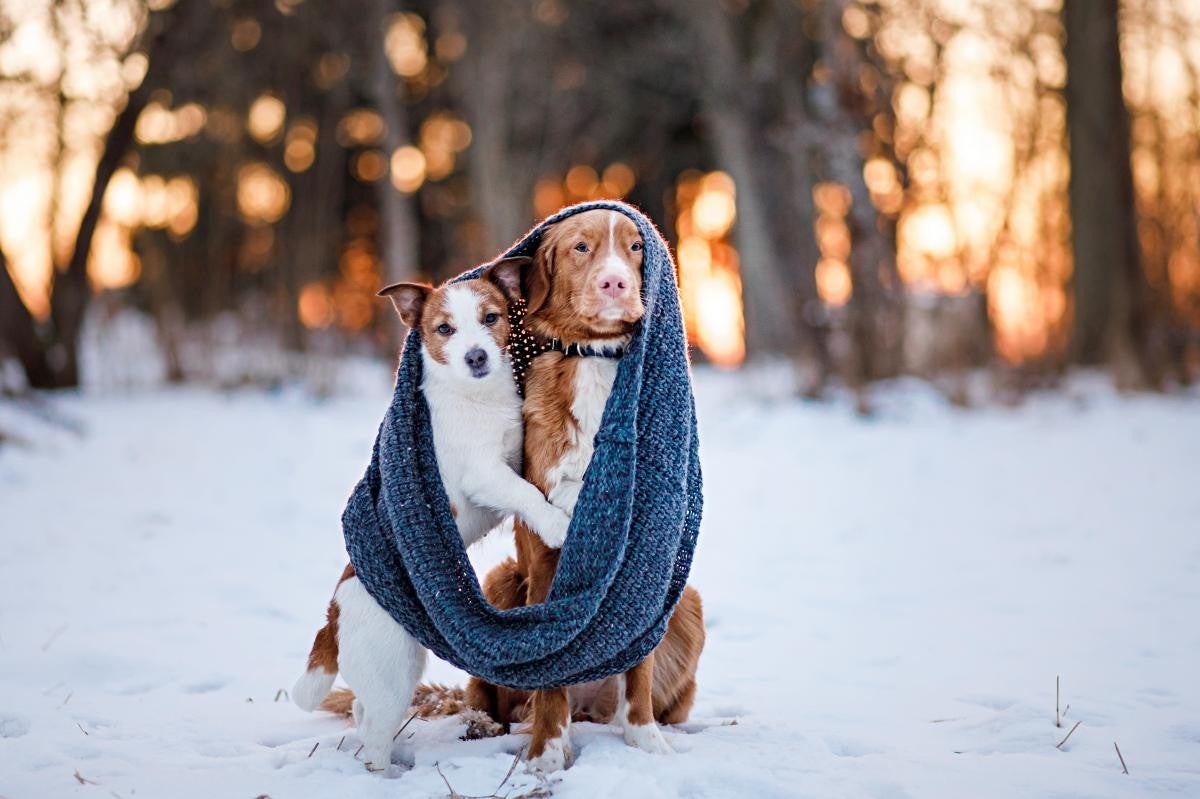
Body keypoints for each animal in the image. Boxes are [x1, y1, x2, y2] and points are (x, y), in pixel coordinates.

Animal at [292, 261, 568, 772]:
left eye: (491, 318)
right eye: (444, 329)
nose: (477, 357)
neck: (476, 399)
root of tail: (335, 612)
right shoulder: (485, 474)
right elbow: (525, 492)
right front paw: (556, 522)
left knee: (362, 713)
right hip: (393, 674)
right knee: (373, 736)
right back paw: (388, 772)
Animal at [463, 208, 705, 767]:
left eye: (637, 247)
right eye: (580, 247)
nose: (616, 283)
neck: (594, 356)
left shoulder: (644, 565)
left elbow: (639, 665)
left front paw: (646, 741)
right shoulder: (548, 551)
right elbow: (551, 663)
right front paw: (548, 754)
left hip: (688, 602)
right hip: (501, 581)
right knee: (493, 696)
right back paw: (493, 726)